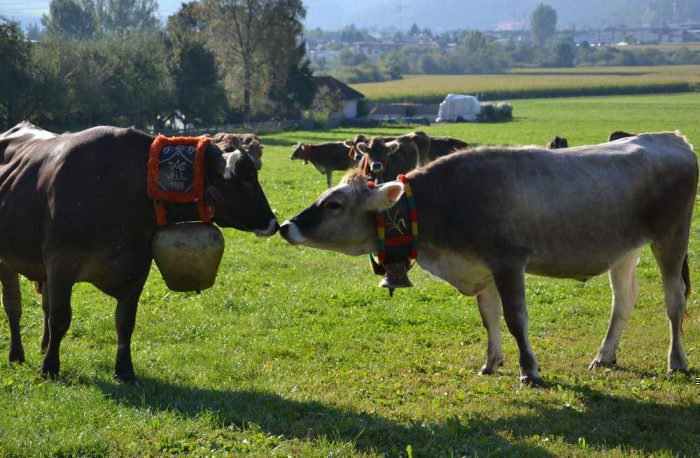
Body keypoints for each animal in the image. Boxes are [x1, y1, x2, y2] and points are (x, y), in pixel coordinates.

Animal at [0, 121, 278, 380]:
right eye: (247, 176)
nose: (273, 222)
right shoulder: (61, 265)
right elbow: (60, 319)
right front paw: (49, 368)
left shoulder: (137, 269)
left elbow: (125, 322)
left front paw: (124, 371)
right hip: (8, 262)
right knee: (14, 307)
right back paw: (17, 355)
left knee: (43, 307)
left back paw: (43, 346)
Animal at [282, 131, 696, 382]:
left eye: (334, 204)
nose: (287, 225)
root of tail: (670, 138)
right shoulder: (480, 268)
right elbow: (489, 318)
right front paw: (491, 362)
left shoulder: (508, 261)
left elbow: (515, 319)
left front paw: (529, 370)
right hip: (624, 249)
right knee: (623, 301)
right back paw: (604, 355)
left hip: (671, 238)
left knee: (673, 300)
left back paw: (676, 361)